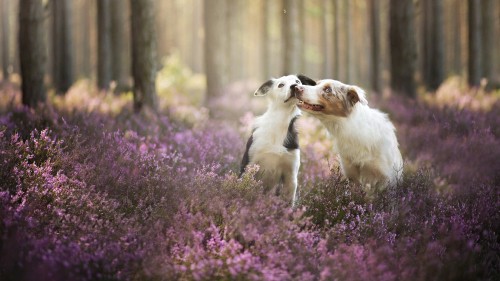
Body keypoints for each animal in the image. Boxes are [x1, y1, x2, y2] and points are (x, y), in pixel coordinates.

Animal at [240, 74, 314, 206]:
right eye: (281, 85)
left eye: (297, 81)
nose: (295, 87)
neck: (281, 121)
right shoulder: (249, 166)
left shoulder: (291, 176)